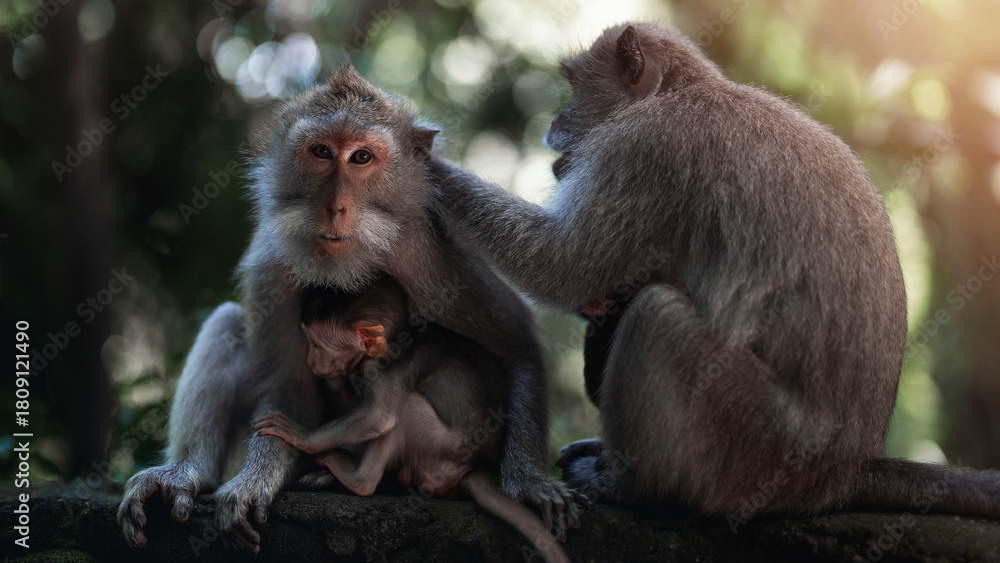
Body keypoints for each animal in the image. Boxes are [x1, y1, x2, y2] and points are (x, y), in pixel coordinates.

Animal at [253, 279, 570, 563]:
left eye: (316, 345)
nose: (310, 361)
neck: (397, 337)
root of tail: (478, 468)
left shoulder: (387, 370)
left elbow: (379, 416)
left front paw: (303, 437)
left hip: (440, 449)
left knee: (406, 408)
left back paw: (358, 479)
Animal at [429, 23, 1000, 518]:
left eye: (573, 89)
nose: (553, 127)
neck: (678, 92)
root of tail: (847, 470)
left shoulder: (644, 149)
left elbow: (564, 266)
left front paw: (431, 171)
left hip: (758, 445)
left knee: (656, 314)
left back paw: (633, 486)